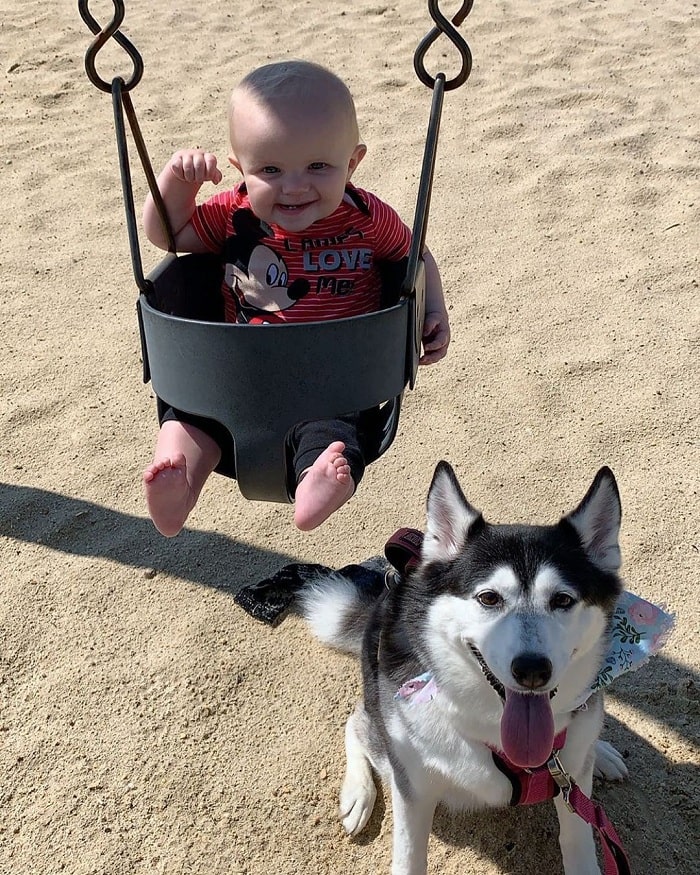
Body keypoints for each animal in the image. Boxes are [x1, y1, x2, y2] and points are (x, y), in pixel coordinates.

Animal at [300, 462, 628, 872]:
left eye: (563, 600)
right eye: (488, 598)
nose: (532, 670)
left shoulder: (570, 783)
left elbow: (577, 838)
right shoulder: (413, 787)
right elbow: (408, 858)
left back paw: (603, 753)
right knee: (357, 722)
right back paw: (358, 794)